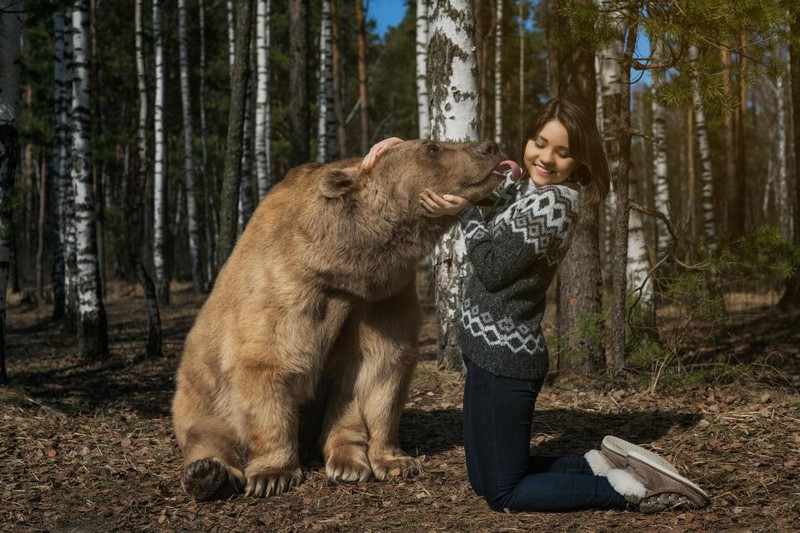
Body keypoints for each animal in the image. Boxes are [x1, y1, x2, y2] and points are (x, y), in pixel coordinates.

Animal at [172, 138, 504, 498]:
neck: (347, 267)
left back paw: (347, 461)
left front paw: (396, 461)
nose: (490, 146)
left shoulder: (381, 300)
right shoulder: (289, 290)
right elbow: (266, 364)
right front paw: (272, 474)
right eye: (431, 147)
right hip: (200, 396)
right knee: (210, 434)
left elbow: (381, 369)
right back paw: (208, 473)